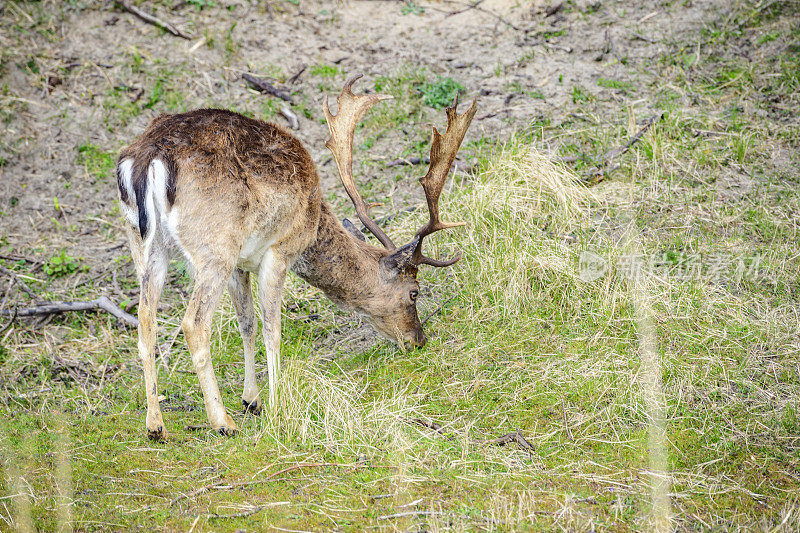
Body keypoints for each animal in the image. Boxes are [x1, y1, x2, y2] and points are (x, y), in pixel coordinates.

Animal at [116, 76, 478, 440]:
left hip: (143, 242)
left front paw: (252, 400)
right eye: (414, 292)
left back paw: (155, 424)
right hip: (215, 246)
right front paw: (277, 404)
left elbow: (247, 323)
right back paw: (222, 422)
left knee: (145, 319)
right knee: (194, 323)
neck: (314, 223)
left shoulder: (241, 264)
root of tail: (148, 160)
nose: (418, 340)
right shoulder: (279, 250)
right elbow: (272, 328)